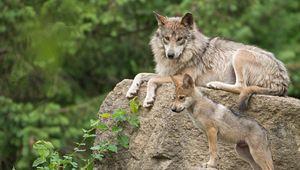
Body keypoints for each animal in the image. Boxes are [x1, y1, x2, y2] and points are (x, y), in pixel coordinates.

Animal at [126, 12, 288, 110]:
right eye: (167, 38)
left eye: (179, 39)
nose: (170, 55)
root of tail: (283, 82)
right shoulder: (166, 73)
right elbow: (140, 75)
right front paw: (132, 90)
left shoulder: (182, 77)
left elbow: (151, 80)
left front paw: (148, 98)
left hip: (239, 54)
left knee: (241, 87)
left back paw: (215, 84)